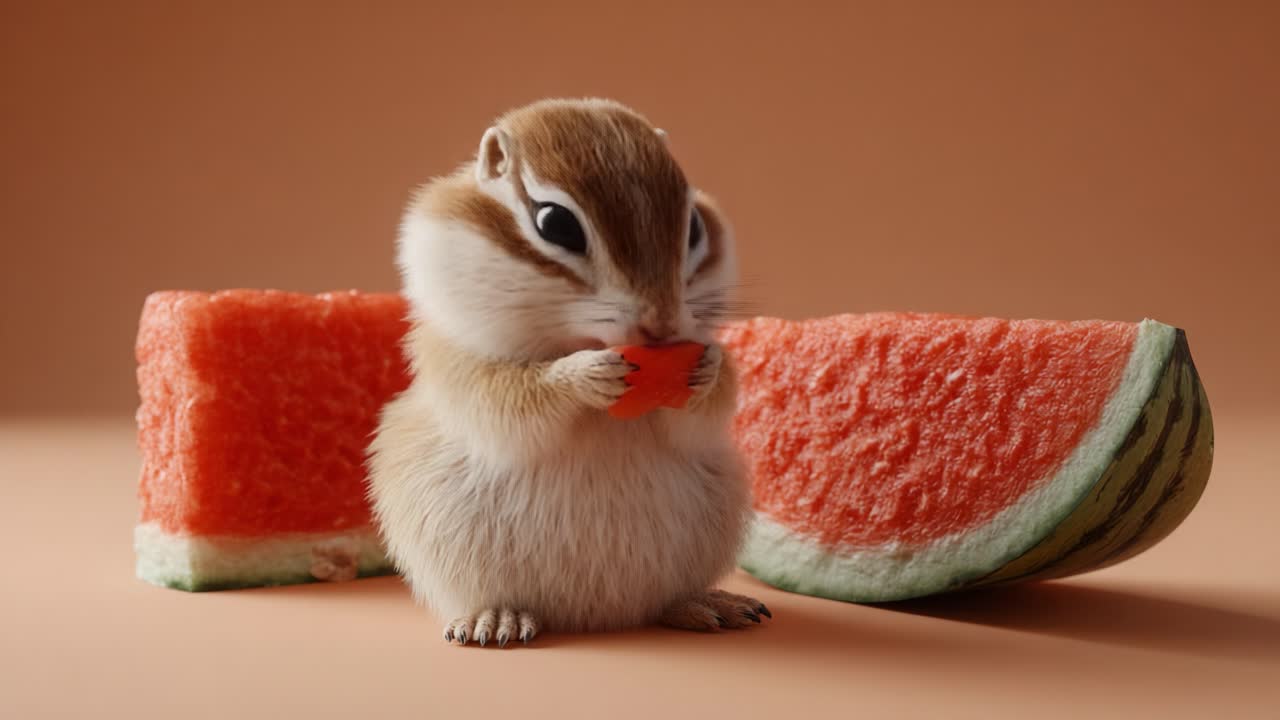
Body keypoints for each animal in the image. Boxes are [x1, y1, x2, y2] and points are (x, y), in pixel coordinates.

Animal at [367, 98, 769, 647]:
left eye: (693, 228)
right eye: (556, 223)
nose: (662, 325)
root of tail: (601, 617)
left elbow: (704, 413)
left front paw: (709, 366)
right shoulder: (456, 359)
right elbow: (507, 400)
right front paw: (583, 375)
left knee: (667, 601)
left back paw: (704, 603)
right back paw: (496, 618)